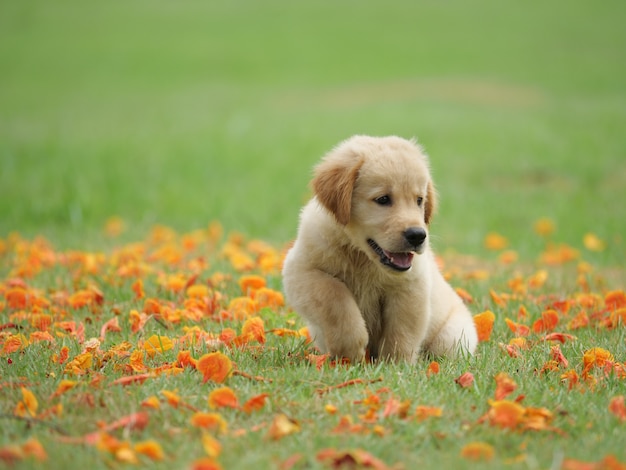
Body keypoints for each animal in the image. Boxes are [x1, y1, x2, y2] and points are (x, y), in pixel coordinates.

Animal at [280, 136, 476, 364]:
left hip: (452, 337)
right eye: (383, 199)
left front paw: (396, 365)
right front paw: (350, 349)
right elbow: (335, 296)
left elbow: (402, 331)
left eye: (419, 200)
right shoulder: (301, 270)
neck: (361, 256)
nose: (418, 236)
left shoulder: (410, 286)